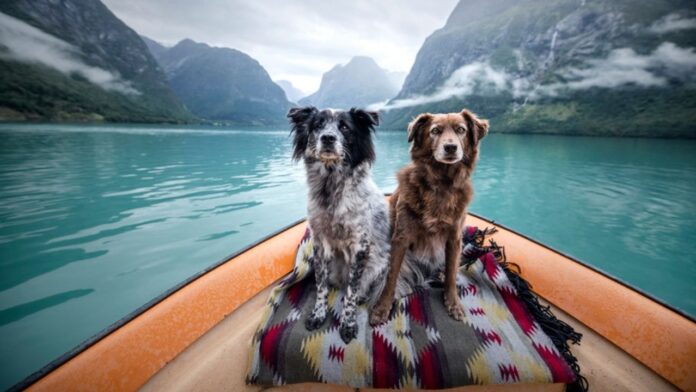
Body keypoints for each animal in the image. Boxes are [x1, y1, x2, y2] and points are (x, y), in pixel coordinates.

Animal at [286, 106, 388, 344]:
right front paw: (318, 314)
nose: (328, 138)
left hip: (376, 266)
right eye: (318, 125)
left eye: (345, 127)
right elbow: (321, 287)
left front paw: (348, 324)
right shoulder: (320, 246)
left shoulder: (360, 248)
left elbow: (351, 294)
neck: (330, 187)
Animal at [370, 108, 490, 324]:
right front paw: (382, 307)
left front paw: (453, 303)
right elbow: (391, 277)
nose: (450, 147)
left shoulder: (454, 238)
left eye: (461, 130)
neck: (441, 184)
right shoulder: (401, 237)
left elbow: (451, 274)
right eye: (435, 131)